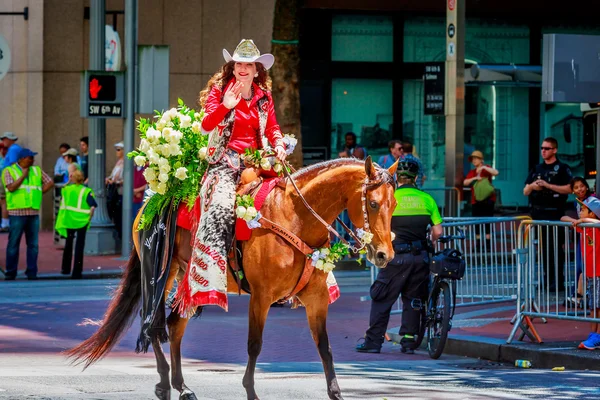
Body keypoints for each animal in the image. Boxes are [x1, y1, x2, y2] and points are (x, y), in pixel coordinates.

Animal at [65, 156, 398, 400]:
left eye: (393, 204)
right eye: (372, 204)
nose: (385, 255)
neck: (296, 218)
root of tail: (150, 202)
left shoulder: (317, 299)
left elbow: (325, 347)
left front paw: (336, 392)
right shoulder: (262, 297)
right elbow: (254, 344)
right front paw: (250, 391)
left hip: (190, 278)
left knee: (174, 325)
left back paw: (181, 386)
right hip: (160, 273)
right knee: (153, 325)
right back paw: (163, 384)